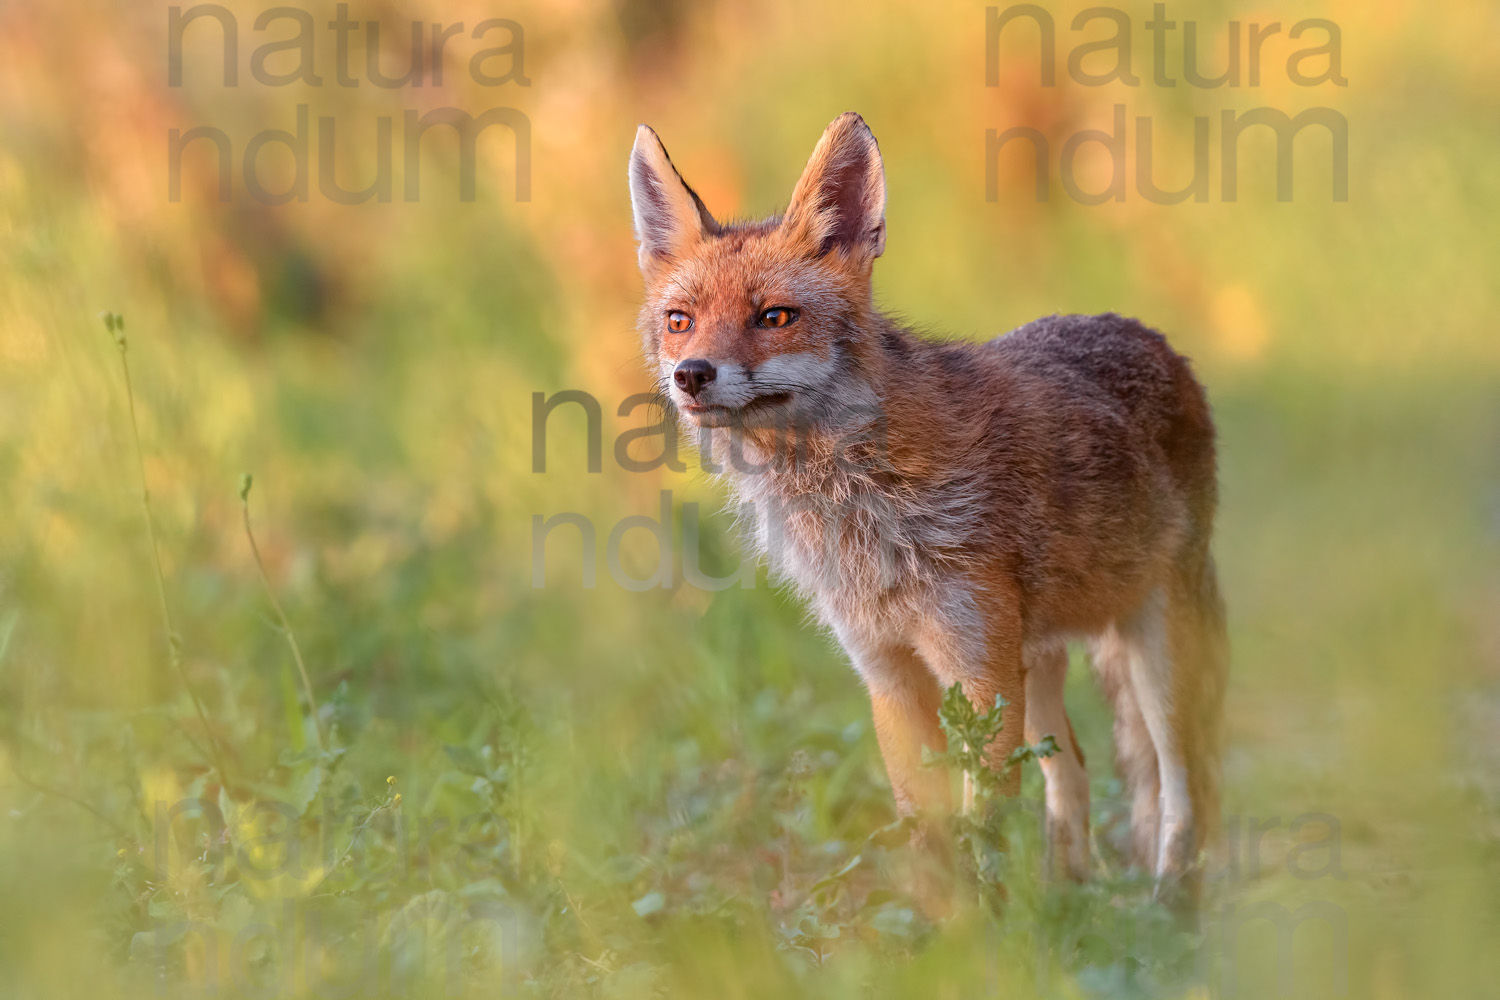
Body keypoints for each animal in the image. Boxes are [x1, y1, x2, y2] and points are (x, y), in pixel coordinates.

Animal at [627, 111, 1224, 899]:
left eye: (775, 317)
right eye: (680, 321)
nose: (693, 375)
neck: (857, 512)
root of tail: (1143, 332)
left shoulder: (979, 674)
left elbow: (983, 829)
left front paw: (987, 925)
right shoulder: (887, 673)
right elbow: (931, 837)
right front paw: (949, 926)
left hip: (1156, 658)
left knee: (1182, 790)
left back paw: (1167, 906)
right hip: (1039, 666)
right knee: (1074, 778)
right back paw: (1068, 899)